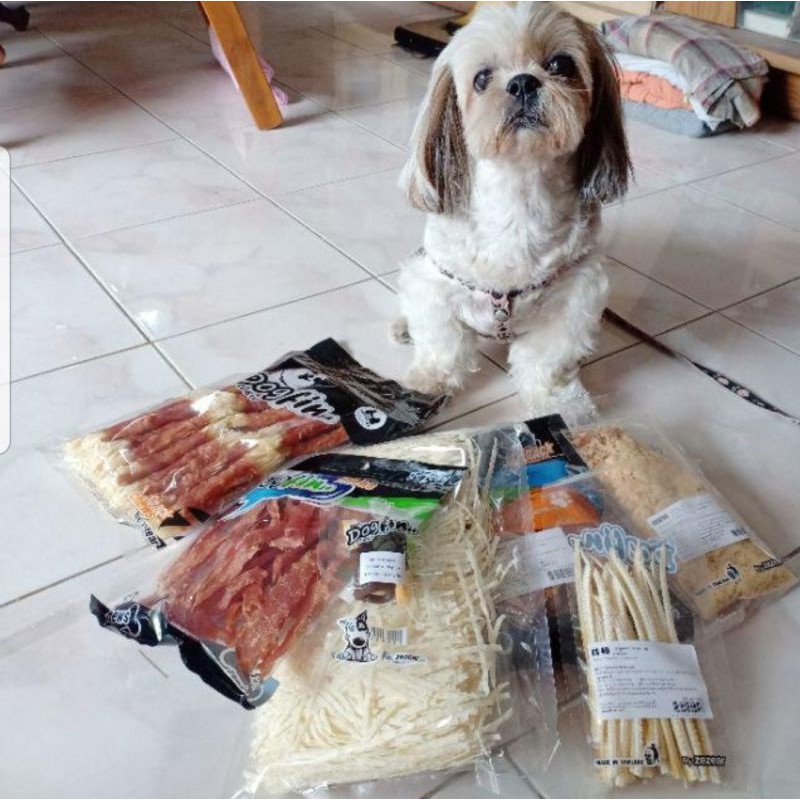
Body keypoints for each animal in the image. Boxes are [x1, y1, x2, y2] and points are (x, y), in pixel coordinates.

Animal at [394, 2, 630, 420]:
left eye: (560, 64)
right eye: (482, 78)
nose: (523, 82)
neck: (518, 195)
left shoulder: (575, 298)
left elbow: (546, 360)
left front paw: (558, 403)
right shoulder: (436, 285)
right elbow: (442, 344)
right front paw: (429, 381)